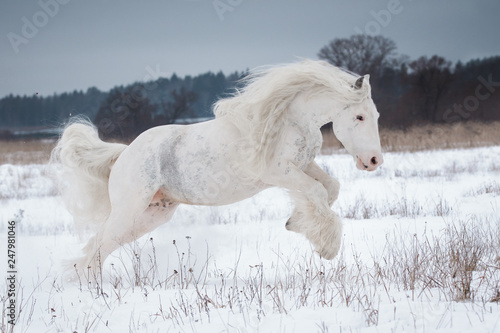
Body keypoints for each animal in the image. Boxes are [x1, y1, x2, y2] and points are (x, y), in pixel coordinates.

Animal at [52, 60, 382, 274]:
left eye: (375, 115)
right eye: (360, 117)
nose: (374, 161)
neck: (289, 119)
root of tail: (124, 155)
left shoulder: (303, 165)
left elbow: (330, 188)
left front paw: (296, 223)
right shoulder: (278, 172)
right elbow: (317, 192)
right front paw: (327, 247)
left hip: (148, 216)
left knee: (97, 247)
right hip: (129, 211)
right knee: (96, 248)